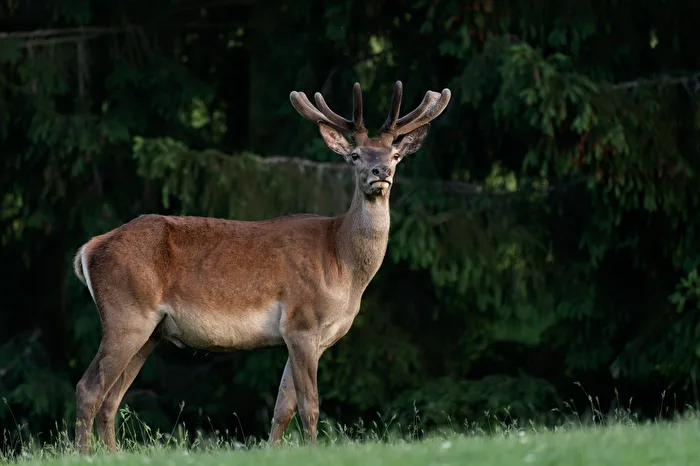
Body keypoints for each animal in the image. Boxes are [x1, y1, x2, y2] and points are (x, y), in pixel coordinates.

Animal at [72, 80, 451, 454]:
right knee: (88, 388)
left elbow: (283, 407)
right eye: (355, 155)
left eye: (395, 155)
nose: (380, 172)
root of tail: (87, 250)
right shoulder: (301, 321)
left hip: (151, 331)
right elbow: (310, 404)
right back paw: (83, 455)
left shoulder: (305, 336)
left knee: (111, 399)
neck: (343, 266)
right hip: (126, 314)